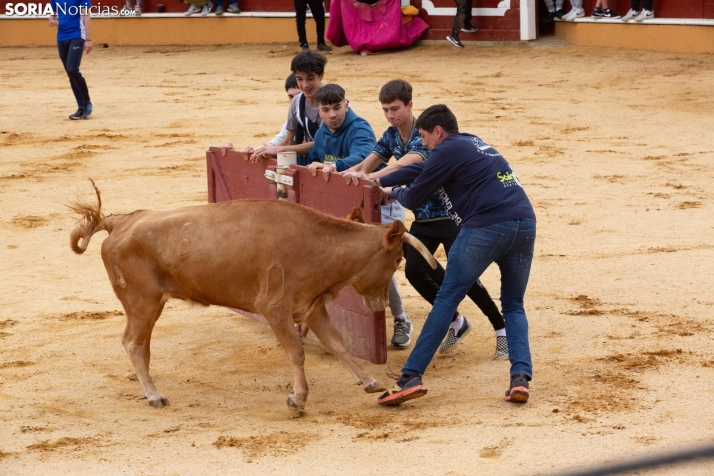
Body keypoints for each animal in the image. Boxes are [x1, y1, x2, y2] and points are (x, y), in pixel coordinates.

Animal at [69, 182, 434, 412]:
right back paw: (154, 396)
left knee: (141, 346)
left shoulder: (312, 307)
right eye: (398, 260)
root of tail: (120, 221)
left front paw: (370, 382)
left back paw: (152, 391)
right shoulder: (275, 310)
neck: (318, 245)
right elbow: (297, 352)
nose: (381, 305)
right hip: (142, 301)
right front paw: (298, 400)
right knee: (132, 343)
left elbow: (338, 344)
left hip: (150, 304)